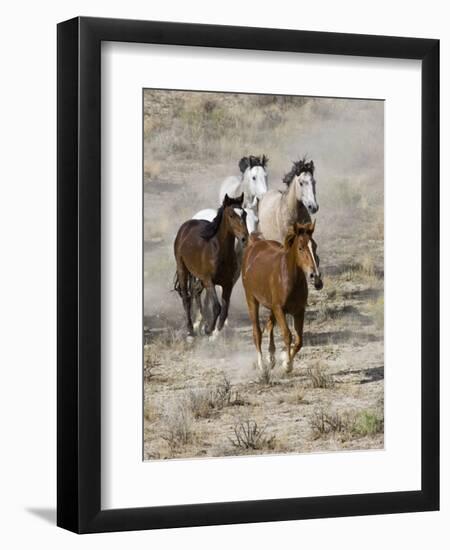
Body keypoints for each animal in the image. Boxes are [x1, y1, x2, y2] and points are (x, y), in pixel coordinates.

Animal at [173, 196, 250, 338]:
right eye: (231, 215)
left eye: (245, 214)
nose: (244, 238)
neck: (219, 251)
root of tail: (186, 226)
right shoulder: (209, 281)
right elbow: (216, 306)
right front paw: (208, 329)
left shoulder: (228, 284)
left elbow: (224, 310)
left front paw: (215, 332)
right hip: (183, 270)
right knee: (186, 298)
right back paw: (191, 330)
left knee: (195, 291)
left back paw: (200, 324)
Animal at [241, 222, 322, 374]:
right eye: (300, 247)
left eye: (314, 246)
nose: (315, 276)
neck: (288, 278)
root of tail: (255, 243)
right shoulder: (279, 309)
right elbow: (287, 335)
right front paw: (287, 365)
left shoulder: (299, 311)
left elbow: (299, 340)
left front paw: (284, 358)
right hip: (252, 299)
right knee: (257, 332)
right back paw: (262, 366)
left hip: (271, 306)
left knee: (269, 325)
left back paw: (271, 358)